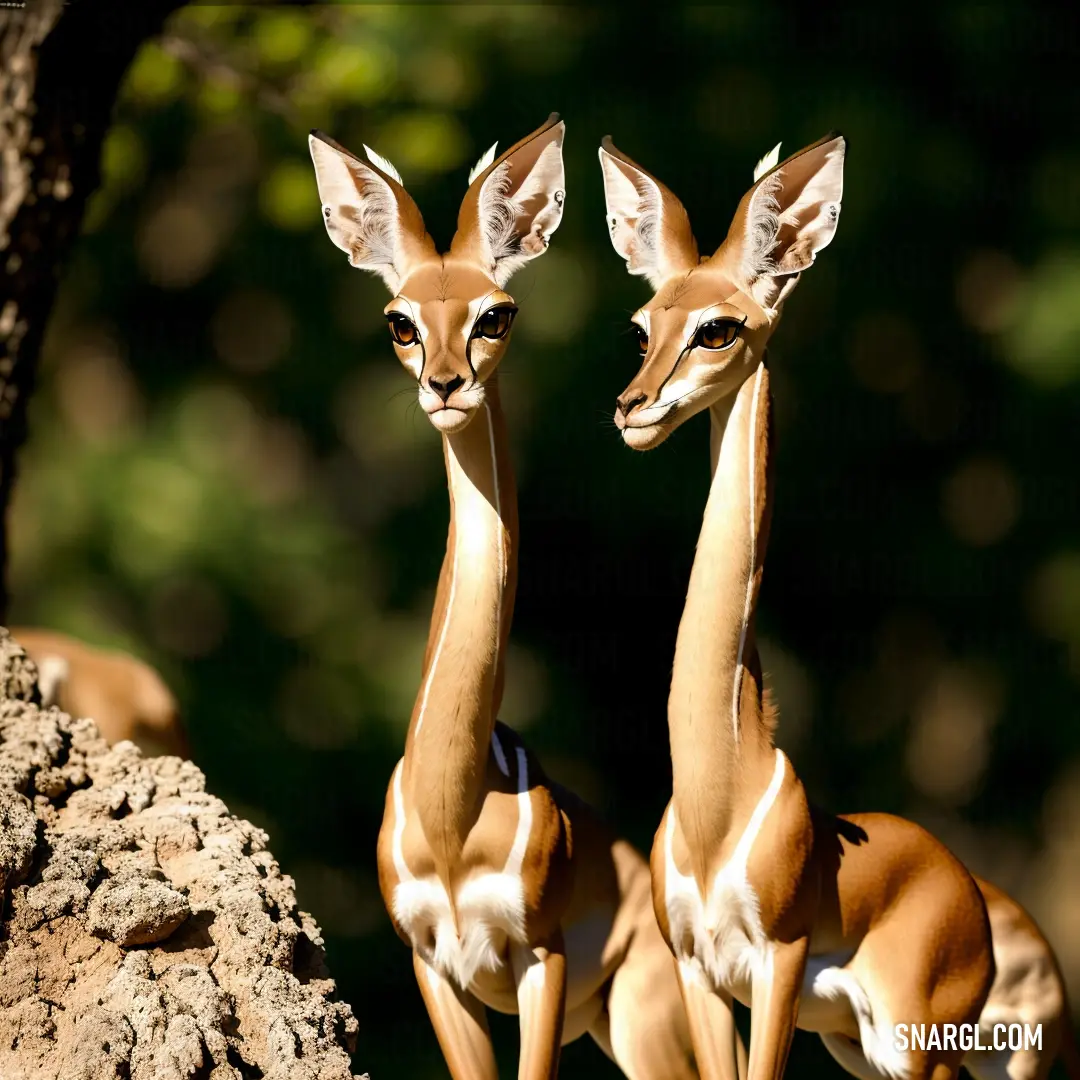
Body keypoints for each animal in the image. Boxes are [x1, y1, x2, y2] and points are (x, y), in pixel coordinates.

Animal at [309, 114, 738, 1079]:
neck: (452, 812)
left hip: (645, 1021)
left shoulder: (538, 955)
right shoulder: (432, 962)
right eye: (399, 320)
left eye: (494, 312)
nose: (445, 384)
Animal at [598, 132, 1002, 1080]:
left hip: (918, 1045)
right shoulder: (699, 968)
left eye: (718, 326)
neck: (719, 796)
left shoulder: (775, 961)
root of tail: (973, 897)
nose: (632, 407)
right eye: (642, 324)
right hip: (859, 1046)